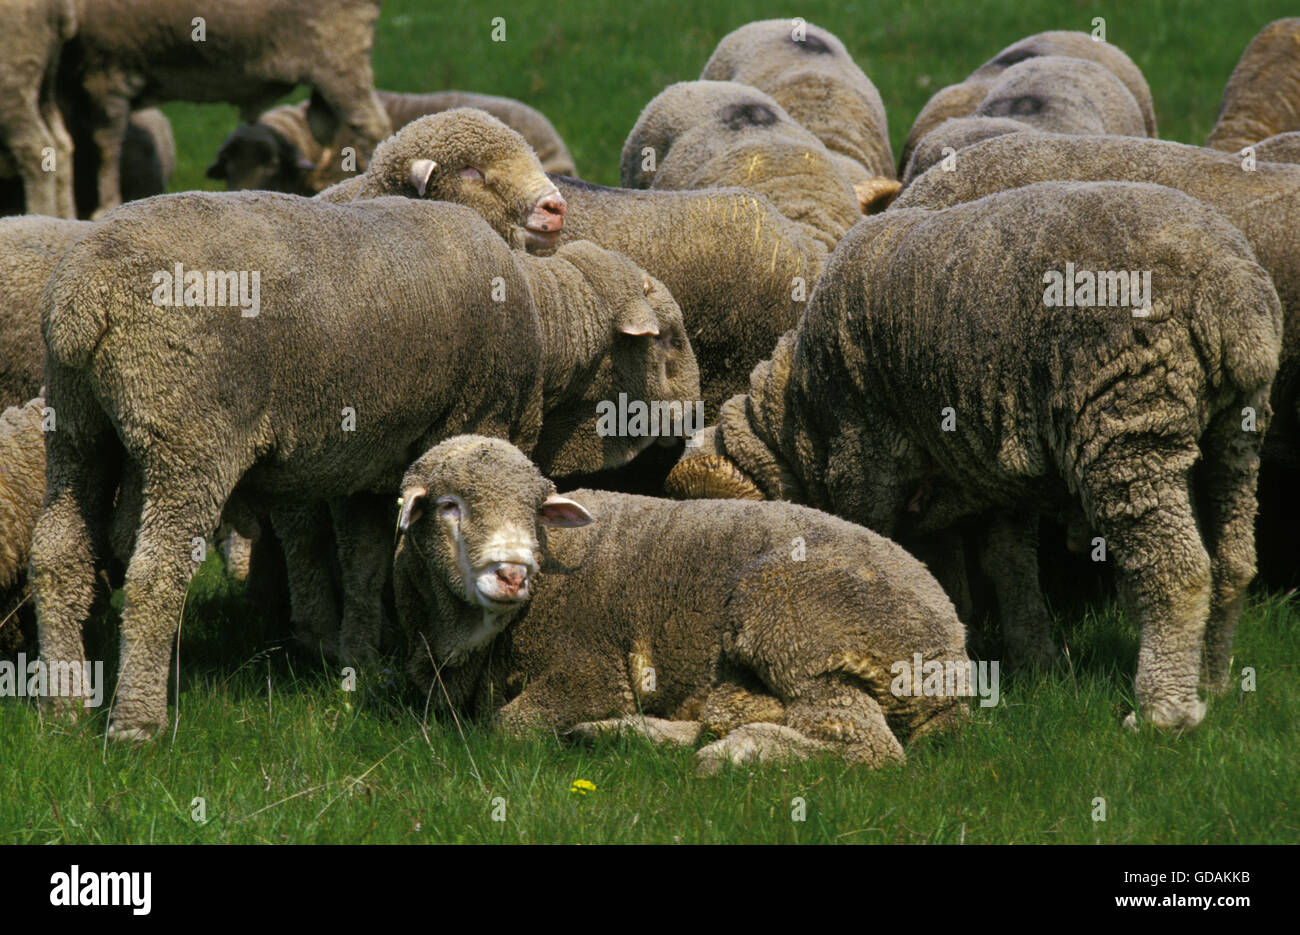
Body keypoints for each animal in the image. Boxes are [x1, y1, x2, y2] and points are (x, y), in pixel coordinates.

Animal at [30, 191, 699, 739]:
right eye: (669, 340)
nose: (695, 414)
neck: (546, 330)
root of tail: (87, 292)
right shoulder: (468, 424)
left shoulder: (370, 462)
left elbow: (363, 560)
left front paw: (360, 662)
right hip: (191, 431)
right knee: (156, 573)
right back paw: (137, 723)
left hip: (77, 422)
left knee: (59, 549)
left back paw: (62, 705)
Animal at [392, 435, 969, 772]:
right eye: (449, 506)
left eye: (535, 512)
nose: (514, 574)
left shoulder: (593, 671)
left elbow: (506, 727)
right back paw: (620, 735)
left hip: (796, 621)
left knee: (870, 749)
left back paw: (737, 753)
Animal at [666, 181, 1283, 731]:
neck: (794, 415)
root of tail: (1230, 293)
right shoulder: (993, 471)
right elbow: (1004, 566)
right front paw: (1034, 662)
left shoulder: (862, 460)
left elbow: (880, 545)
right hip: (1236, 429)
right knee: (1233, 560)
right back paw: (1212, 684)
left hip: (1129, 418)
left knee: (1177, 569)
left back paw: (1163, 711)